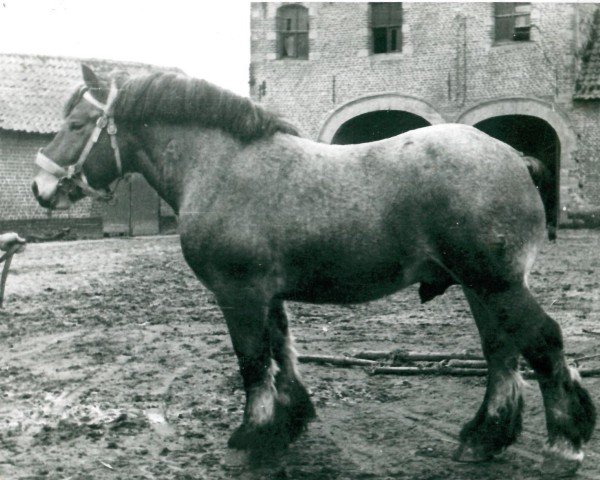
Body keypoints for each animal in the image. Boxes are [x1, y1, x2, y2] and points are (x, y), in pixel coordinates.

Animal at [32, 65, 596, 474]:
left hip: (496, 284)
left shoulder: (238, 293)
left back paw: (563, 445)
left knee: (543, 343)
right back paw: (484, 438)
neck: (221, 166)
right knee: (501, 354)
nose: (41, 189)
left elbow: (252, 362)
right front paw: (289, 422)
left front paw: (253, 438)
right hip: (481, 288)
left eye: (76, 125)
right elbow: (282, 353)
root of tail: (516, 158)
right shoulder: (268, 294)